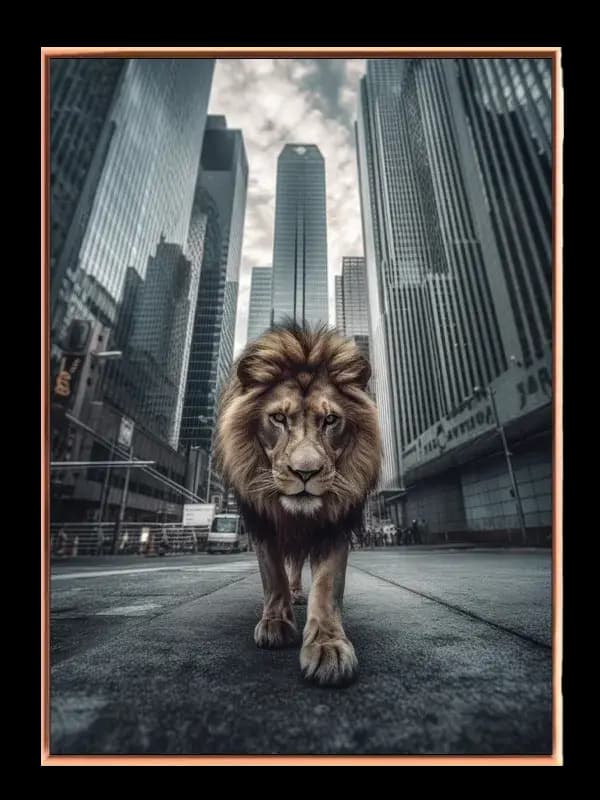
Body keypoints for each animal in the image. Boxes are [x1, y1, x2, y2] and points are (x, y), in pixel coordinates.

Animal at [213, 321, 381, 686]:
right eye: (278, 418)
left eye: (330, 420)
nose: (306, 472)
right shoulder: (261, 521)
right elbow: (273, 574)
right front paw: (276, 622)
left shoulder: (335, 523)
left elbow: (328, 585)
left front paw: (328, 646)